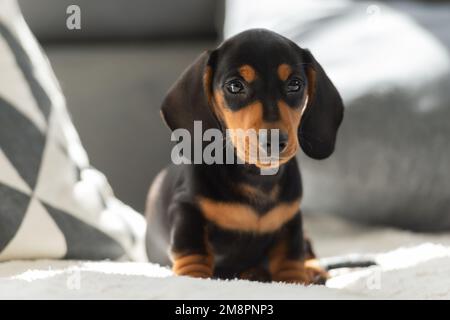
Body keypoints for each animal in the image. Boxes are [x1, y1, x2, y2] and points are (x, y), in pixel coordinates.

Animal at [146, 28, 342, 284]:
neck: (256, 178)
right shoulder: (187, 210)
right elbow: (193, 252)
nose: (275, 141)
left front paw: (296, 280)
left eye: (295, 84)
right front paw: (193, 277)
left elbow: (290, 256)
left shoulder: (290, 219)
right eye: (235, 86)